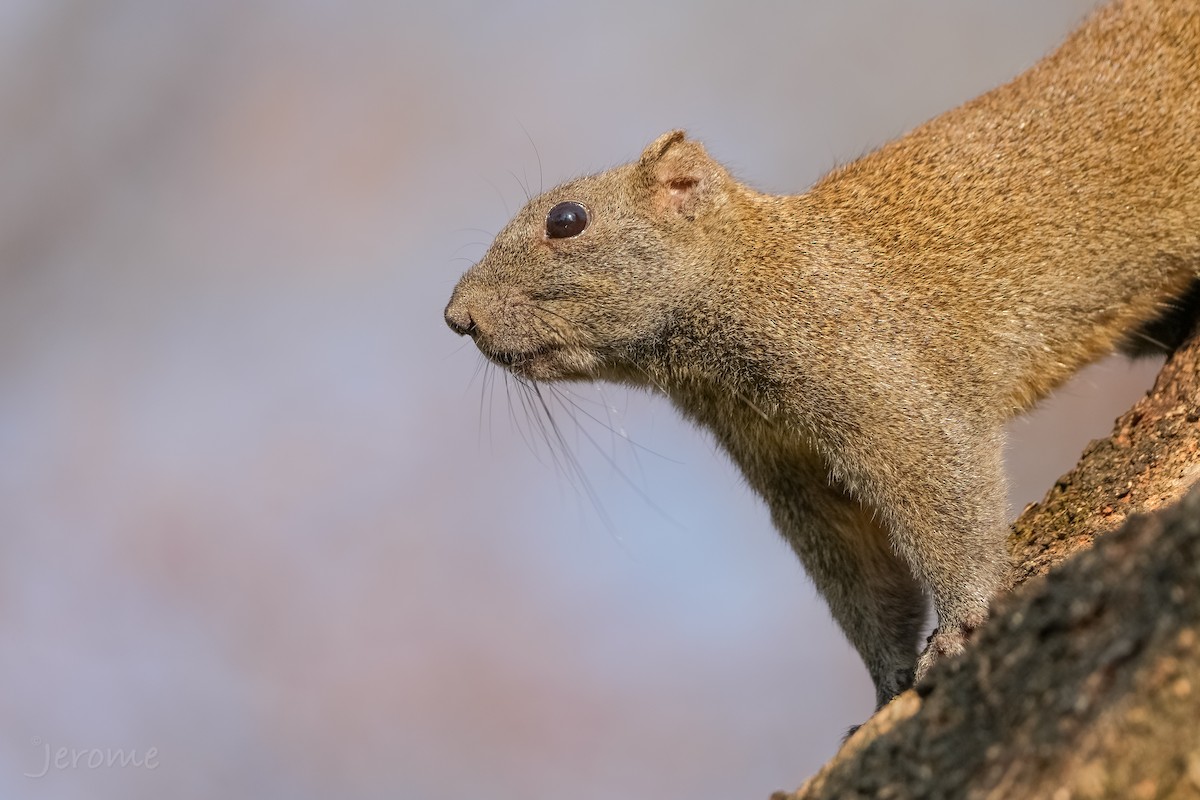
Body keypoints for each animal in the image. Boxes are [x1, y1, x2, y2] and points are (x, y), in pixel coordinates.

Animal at [444, 0, 1200, 712]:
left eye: (566, 220)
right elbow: (860, 580)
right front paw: (887, 680)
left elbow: (948, 500)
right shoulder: (789, 470)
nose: (456, 317)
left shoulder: (885, 382)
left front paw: (964, 622)